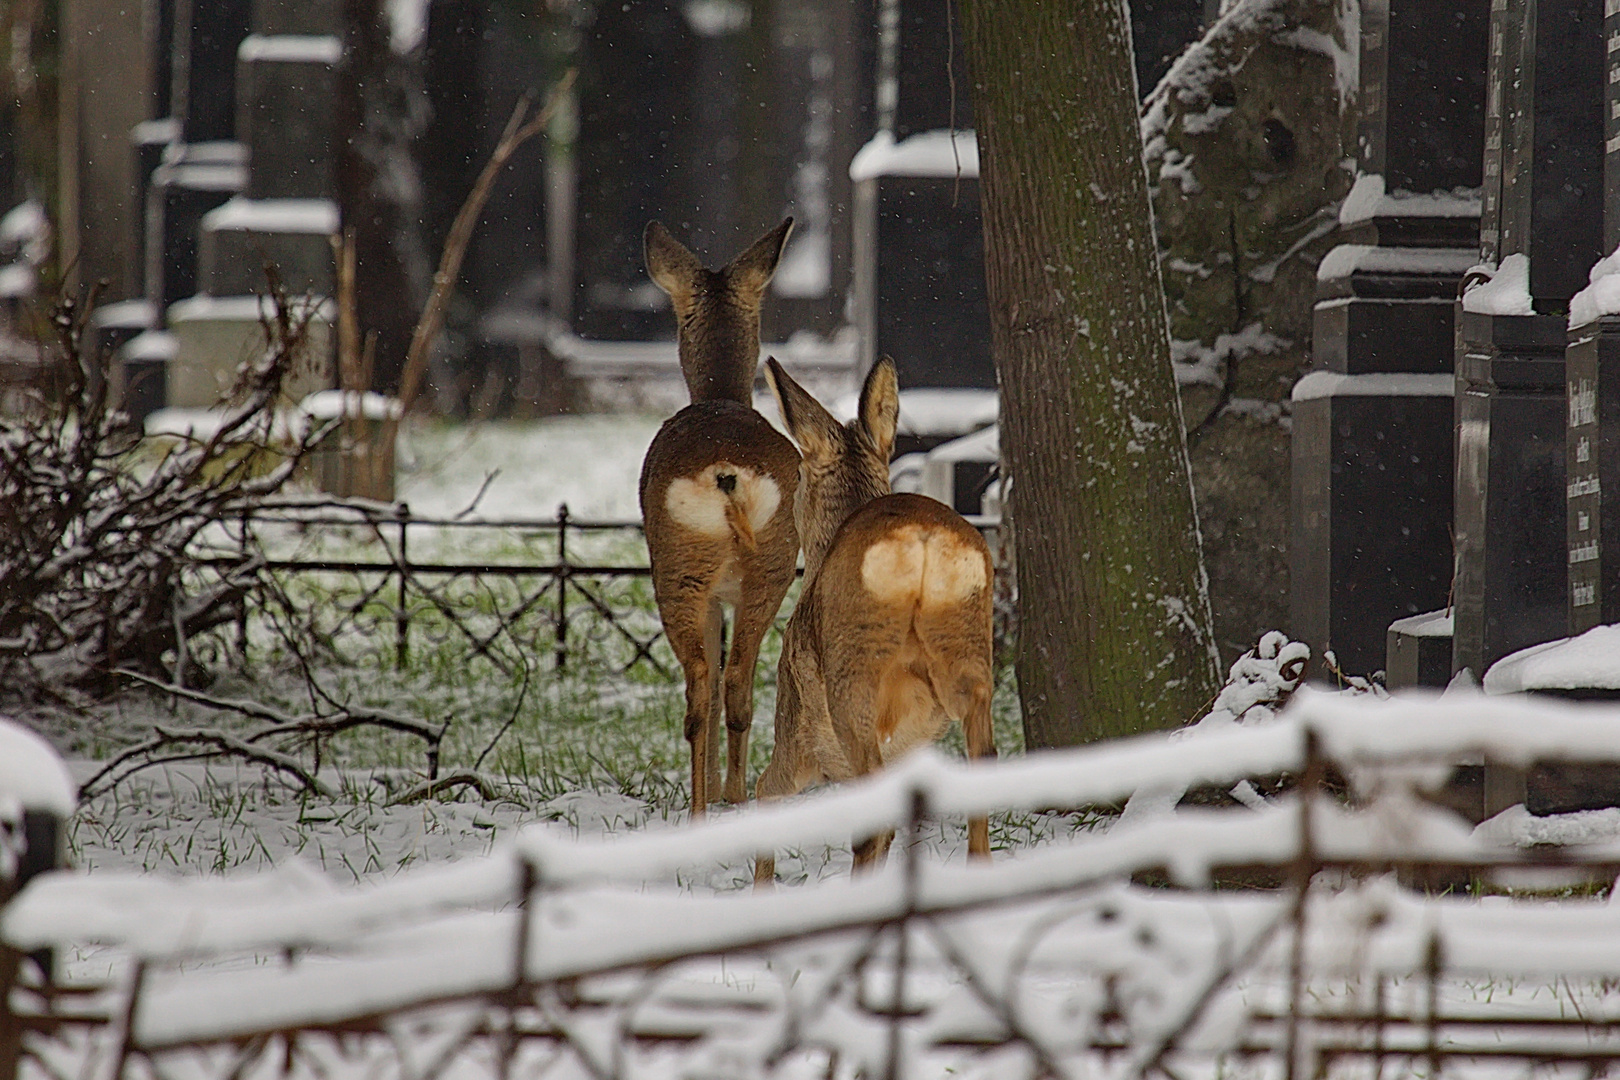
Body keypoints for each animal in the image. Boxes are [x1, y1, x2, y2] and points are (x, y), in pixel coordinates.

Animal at [638, 216, 803, 819]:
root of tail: (727, 472)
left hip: (680, 567)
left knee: (708, 686)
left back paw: (711, 803)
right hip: (767, 563)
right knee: (728, 683)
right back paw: (722, 800)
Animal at [751, 359, 991, 880]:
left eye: (798, 473)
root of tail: (920, 540)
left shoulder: (796, 727)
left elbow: (764, 791)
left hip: (852, 679)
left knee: (867, 819)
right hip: (968, 651)